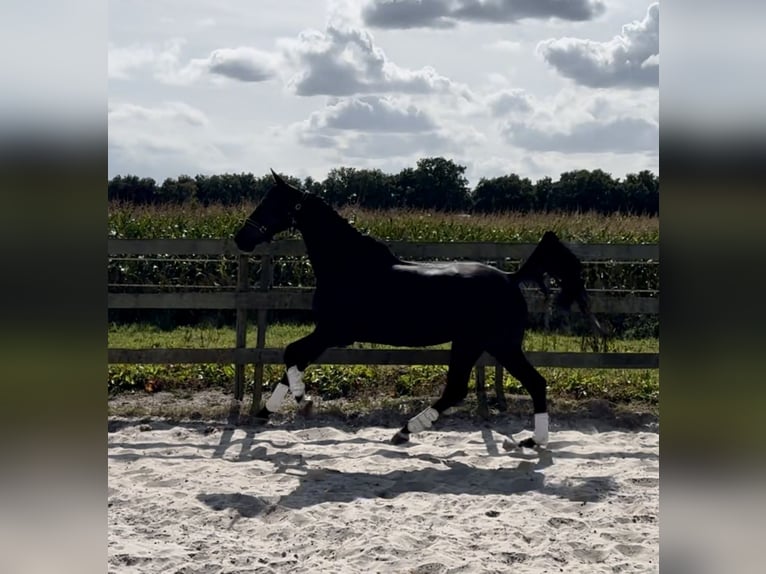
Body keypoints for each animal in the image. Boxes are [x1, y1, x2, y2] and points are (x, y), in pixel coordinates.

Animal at [234, 170, 601, 447]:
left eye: (270, 203)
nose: (241, 238)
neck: (348, 266)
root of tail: (511, 279)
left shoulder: (333, 332)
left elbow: (290, 354)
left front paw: (302, 401)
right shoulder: (328, 334)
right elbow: (292, 359)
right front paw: (266, 411)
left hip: (494, 344)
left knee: (519, 384)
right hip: (478, 344)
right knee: (469, 388)